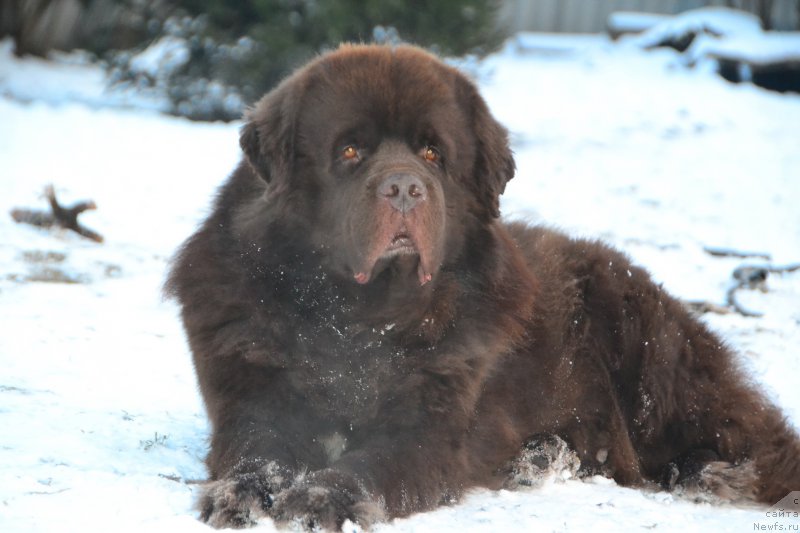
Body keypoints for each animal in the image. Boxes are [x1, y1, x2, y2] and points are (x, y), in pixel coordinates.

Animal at [166, 44, 796, 528]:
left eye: (431, 153)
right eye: (349, 150)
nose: (404, 188)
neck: (362, 317)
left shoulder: (429, 427)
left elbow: (366, 466)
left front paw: (322, 499)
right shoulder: (252, 396)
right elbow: (258, 452)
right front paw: (241, 495)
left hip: (649, 356)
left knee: (757, 443)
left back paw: (711, 472)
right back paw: (542, 456)